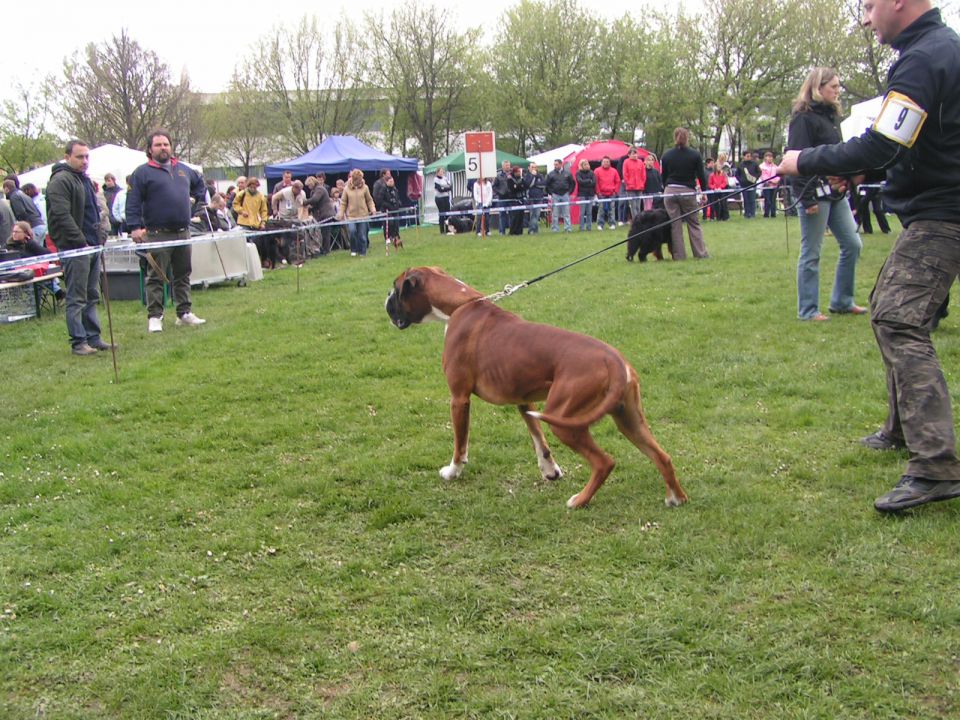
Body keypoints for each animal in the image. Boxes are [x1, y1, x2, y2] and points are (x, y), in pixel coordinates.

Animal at [386, 268, 688, 510]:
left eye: (396, 288)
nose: (386, 299)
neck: (460, 304)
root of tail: (615, 362)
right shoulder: (523, 400)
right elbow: (539, 440)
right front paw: (550, 471)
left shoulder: (459, 399)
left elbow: (460, 445)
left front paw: (452, 472)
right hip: (628, 419)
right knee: (663, 456)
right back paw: (676, 497)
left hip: (565, 421)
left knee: (604, 462)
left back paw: (579, 501)